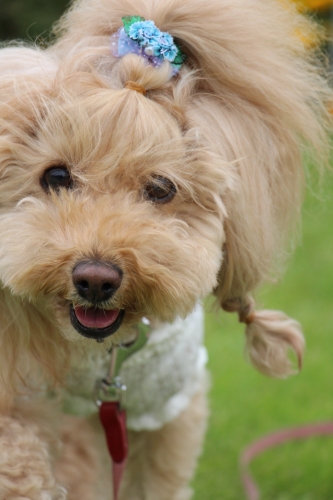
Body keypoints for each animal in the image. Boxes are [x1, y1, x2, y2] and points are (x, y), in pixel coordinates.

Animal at [0, 0, 328, 498]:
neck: (102, 356)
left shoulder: (164, 407)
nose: (95, 279)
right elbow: (21, 456)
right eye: (55, 176)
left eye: (160, 188)